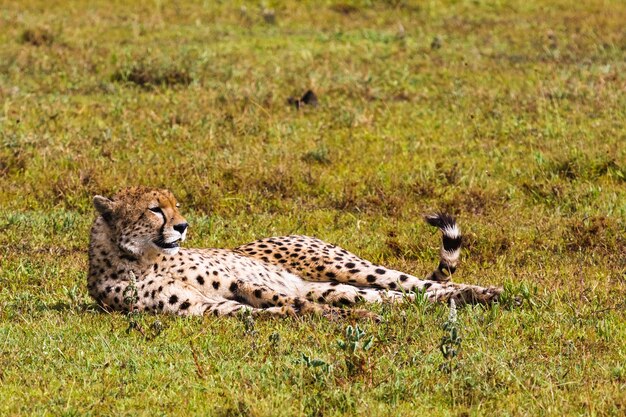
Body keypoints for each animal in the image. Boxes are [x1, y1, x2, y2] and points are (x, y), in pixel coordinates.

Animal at [89, 187, 502, 320]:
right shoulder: (202, 307)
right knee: (401, 297)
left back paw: (488, 293)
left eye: (174, 205)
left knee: (421, 284)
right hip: (337, 286)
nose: (183, 225)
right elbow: (267, 309)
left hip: (344, 266)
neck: (140, 259)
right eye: (154, 209)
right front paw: (314, 316)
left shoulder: (237, 281)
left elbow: (273, 296)